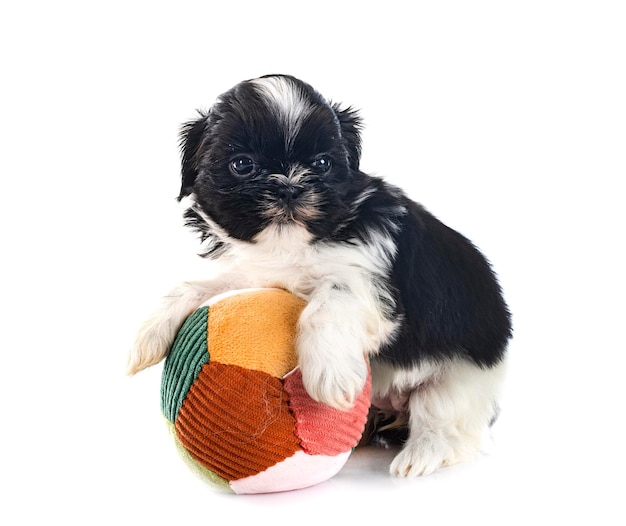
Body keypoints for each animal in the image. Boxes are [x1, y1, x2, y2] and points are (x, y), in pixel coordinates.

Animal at [124, 73, 510, 478]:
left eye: (323, 163)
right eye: (242, 165)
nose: (289, 186)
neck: (291, 246)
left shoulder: (370, 280)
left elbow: (327, 304)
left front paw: (330, 374)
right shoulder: (255, 272)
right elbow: (195, 285)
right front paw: (148, 334)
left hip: (460, 381)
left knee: (443, 419)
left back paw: (422, 454)